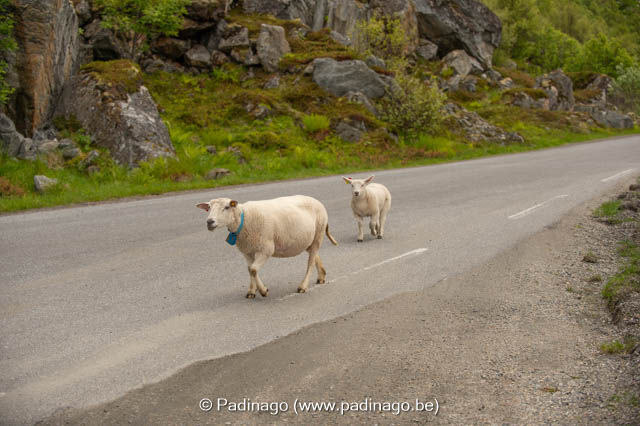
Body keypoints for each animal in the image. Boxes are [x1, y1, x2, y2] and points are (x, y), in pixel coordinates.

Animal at [196, 195, 338, 298]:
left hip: (318, 234)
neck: (243, 218)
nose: (209, 222)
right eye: (208, 208)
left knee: (310, 263)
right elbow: (250, 269)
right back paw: (321, 276)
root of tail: (316, 200)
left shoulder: (265, 250)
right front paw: (251, 291)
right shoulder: (247, 251)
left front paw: (263, 291)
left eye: (226, 207)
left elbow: (253, 269)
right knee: (314, 256)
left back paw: (302, 286)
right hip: (309, 239)